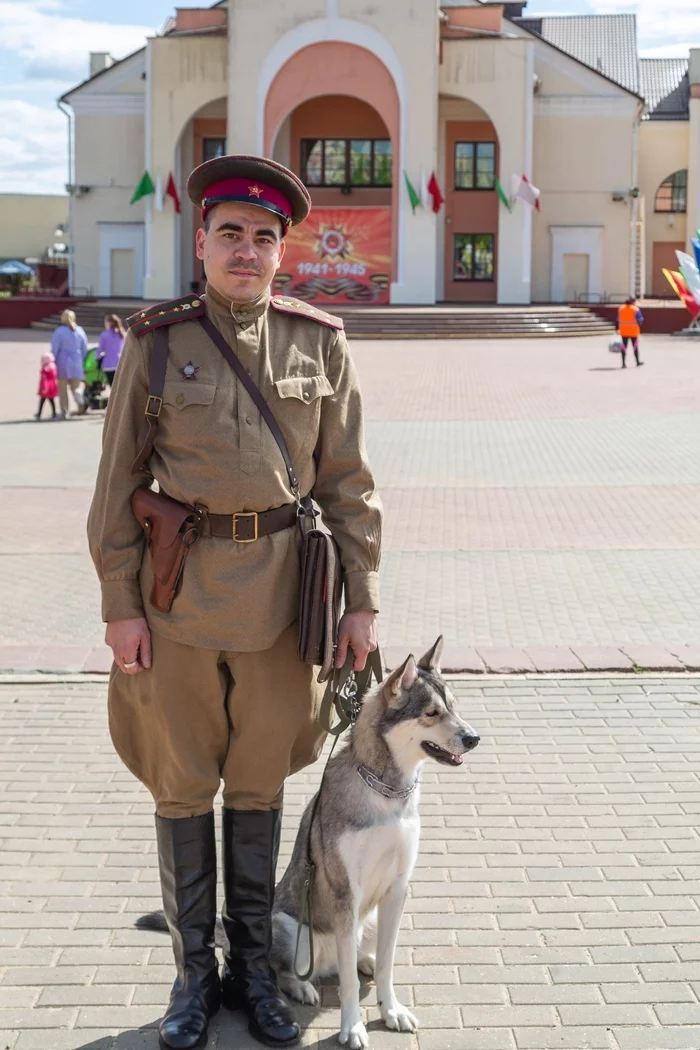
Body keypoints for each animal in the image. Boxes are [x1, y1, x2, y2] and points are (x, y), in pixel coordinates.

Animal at [135, 638, 482, 1050]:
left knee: (355, 958)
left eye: (455, 708)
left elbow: (387, 965)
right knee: (286, 970)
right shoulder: (346, 892)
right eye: (431, 713)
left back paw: (361, 962)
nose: (474, 738)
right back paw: (302, 988)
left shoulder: (397, 890)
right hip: (290, 929)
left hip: (369, 920)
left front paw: (391, 1009)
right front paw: (352, 1028)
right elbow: (348, 985)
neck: (386, 793)